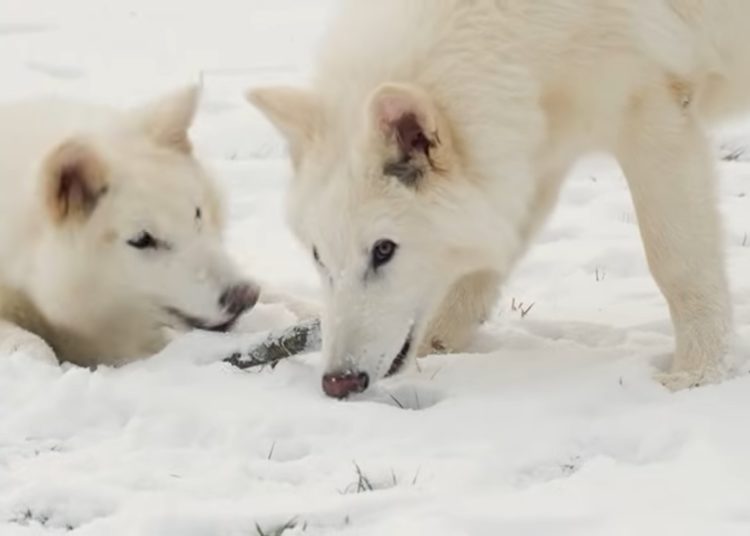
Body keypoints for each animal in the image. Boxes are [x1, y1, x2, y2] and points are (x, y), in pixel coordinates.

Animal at [249, 0, 749, 397]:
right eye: (318, 256)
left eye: (383, 250)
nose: (338, 383)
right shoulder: (536, 150)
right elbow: (477, 276)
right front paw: (436, 353)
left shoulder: (653, 114)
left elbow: (677, 263)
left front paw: (700, 374)